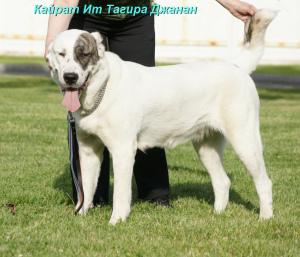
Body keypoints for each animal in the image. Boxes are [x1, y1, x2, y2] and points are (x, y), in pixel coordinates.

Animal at [48, 9, 276, 223]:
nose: (70, 77)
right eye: (61, 54)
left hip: (245, 142)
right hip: (206, 147)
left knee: (264, 182)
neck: (103, 88)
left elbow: (121, 193)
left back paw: (265, 218)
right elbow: (85, 189)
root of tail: (234, 65)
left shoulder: (123, 150)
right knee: (222, 181)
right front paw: (80, 216)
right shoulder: (88, 151)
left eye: (84, 54)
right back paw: (217, 214)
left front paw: (116, 221)